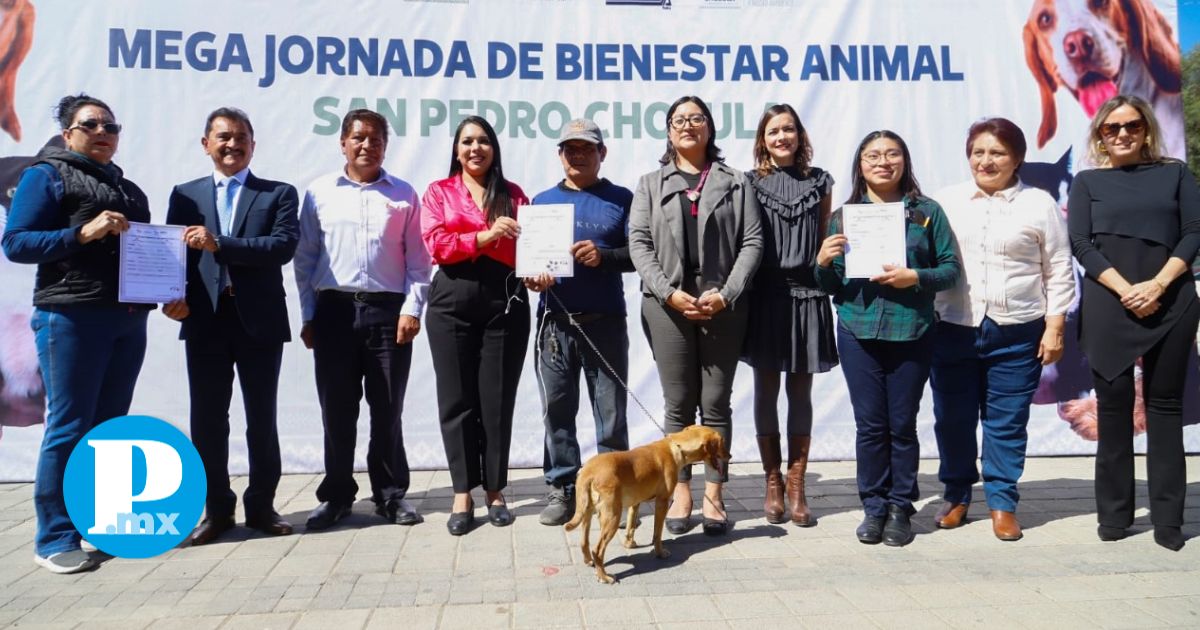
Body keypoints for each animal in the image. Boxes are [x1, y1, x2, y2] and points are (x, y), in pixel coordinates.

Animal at [561, 424, 720, 583]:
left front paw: (629, 544)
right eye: (722, 443)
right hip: (612, 517)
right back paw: (604, 577)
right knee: (598, 550)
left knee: (584, 542)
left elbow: (631, 526)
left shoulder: (635, 503)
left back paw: (589, 561)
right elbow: (657, 534)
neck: (675, 447)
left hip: (588, 512)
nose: (726, 457)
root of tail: (588, 472)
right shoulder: (662, 502)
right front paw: (660, 552)